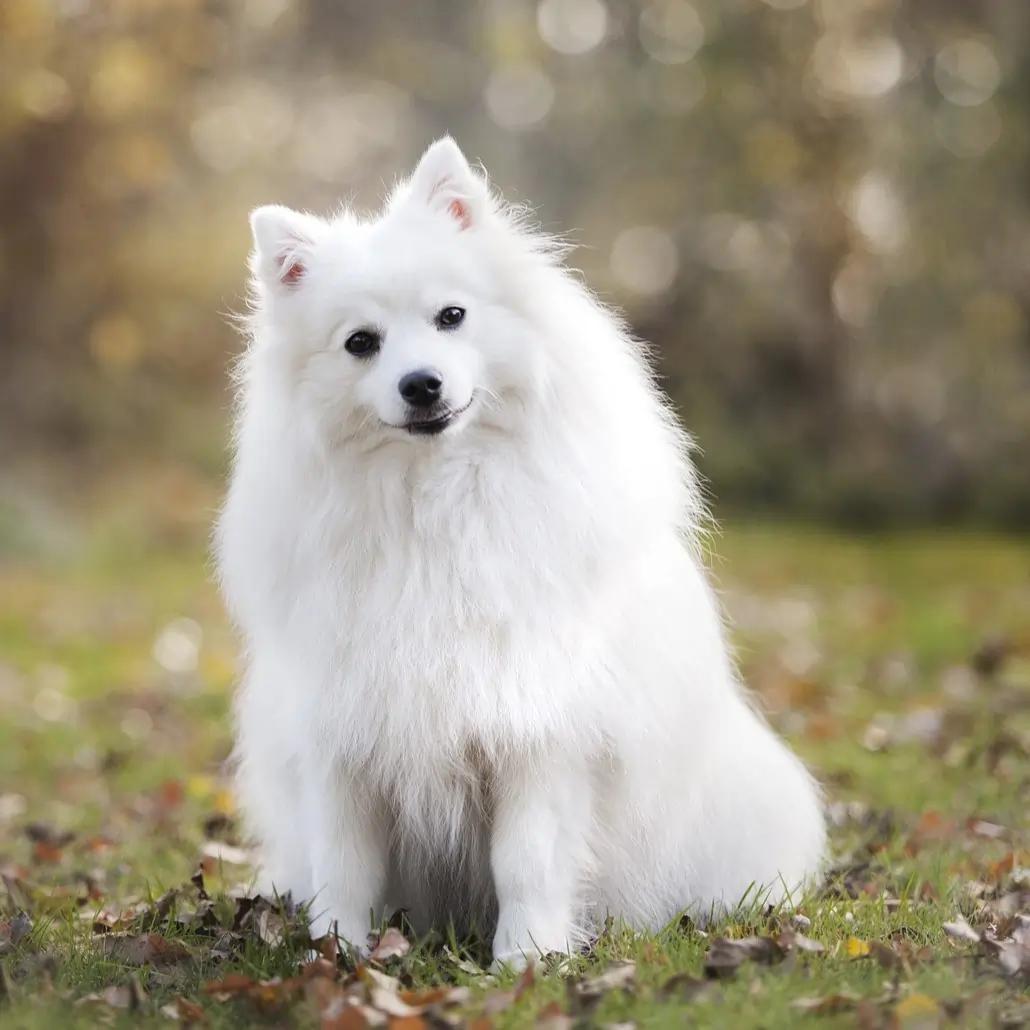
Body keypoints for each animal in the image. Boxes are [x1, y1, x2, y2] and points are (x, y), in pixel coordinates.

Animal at [215, 136, 819, 964]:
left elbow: (526, 860)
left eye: (452, 316)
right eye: (361, 344)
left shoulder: (540, 734)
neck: (434, 505)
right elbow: (346, 866)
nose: (421, 384)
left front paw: (525, 960)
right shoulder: (344, 736)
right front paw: (336, 954)